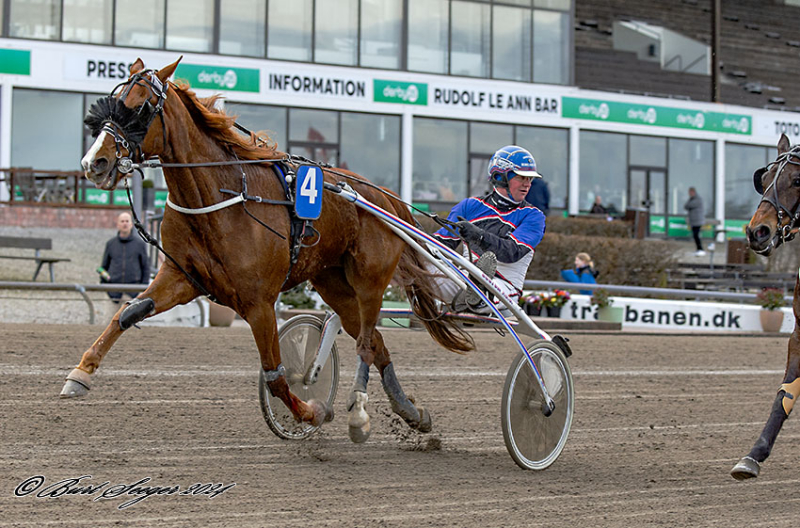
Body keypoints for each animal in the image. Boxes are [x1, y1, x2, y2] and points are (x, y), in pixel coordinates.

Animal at [65, 58, 476, 446]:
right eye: (112, 102)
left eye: (140, 107)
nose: (94, 163)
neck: (220, 194)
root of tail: (385, 197)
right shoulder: (182, 277)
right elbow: (127, 313)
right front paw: (80, 374)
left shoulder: (259, 301)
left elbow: (276, 376)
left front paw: (312, 411)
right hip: (334, 284)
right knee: (376, 342)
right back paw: (410, 412)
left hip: (370, 279)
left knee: (365, 343)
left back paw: (360, 413)